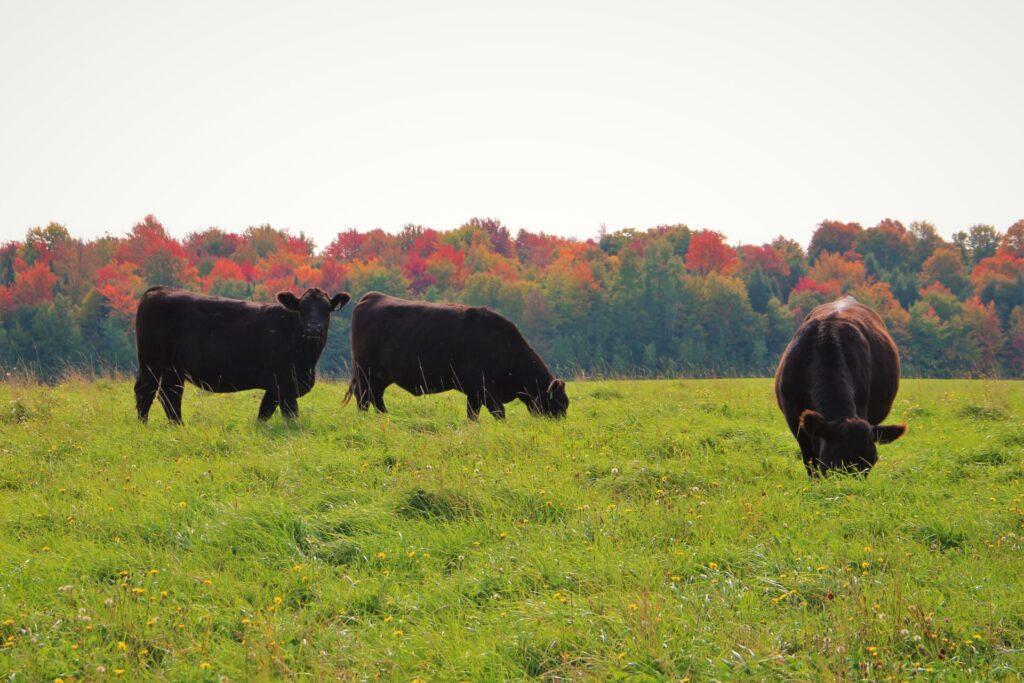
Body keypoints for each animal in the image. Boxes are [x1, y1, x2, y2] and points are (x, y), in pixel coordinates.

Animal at [134, 284, 350, 421]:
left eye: (326, 308)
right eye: (302, 308)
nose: (314, 328)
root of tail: (159, 290)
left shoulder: (275, 388)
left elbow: (263, 415)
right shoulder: (284, 385)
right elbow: (289, 416)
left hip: (173, 369)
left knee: (170, 396)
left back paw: (179, 427)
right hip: (151, 363)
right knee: (145, 392)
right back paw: (144, 426)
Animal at [344, 290, 569, 419]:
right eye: (558, 403)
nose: (559, 425)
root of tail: (371, 297)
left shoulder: (474, 393)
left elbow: (472, 416)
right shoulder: (484, 389)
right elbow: (499, 413)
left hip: (380, 376)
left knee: (376, 398)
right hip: (366, 372)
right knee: (364, 399)